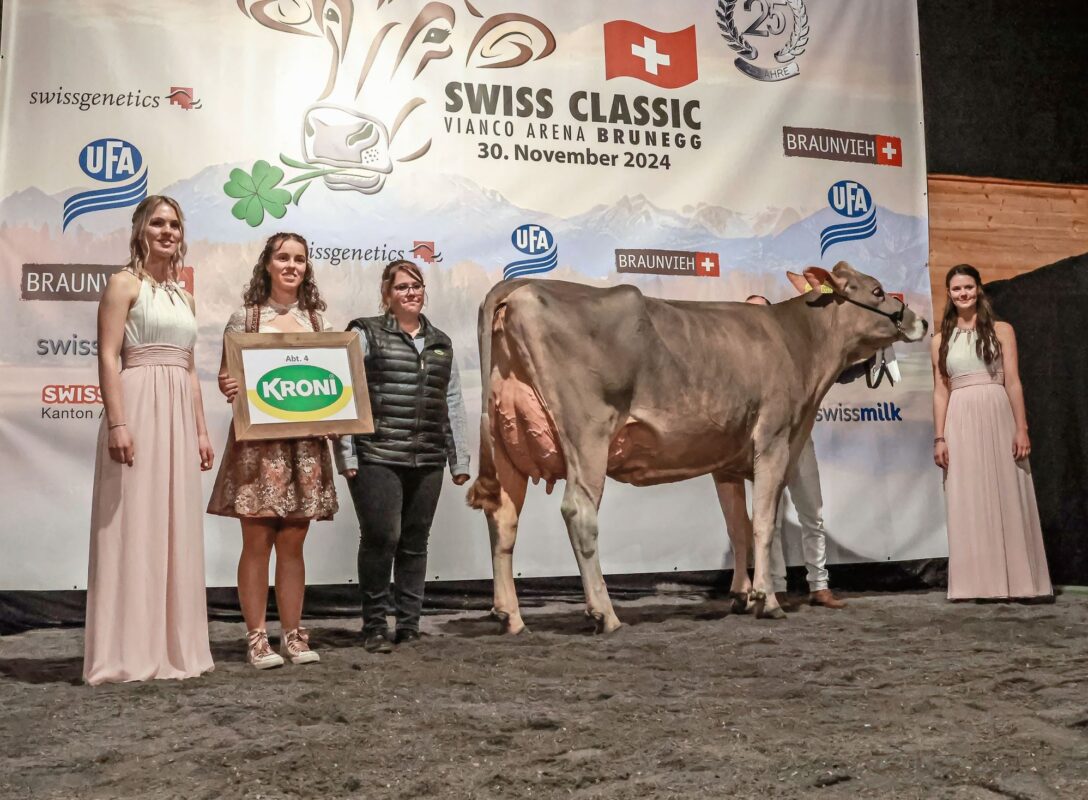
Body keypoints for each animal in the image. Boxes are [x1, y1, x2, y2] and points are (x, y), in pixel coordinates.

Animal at [465, 265, 926, 635]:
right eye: (878, 291)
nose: (919, 320)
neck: (797, 341)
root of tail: (521, 285)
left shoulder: (727, 460)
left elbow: (738, 527)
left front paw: (741, 596)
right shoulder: (775, 439)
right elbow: (764, 525)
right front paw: (768, 601)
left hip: (507, 441)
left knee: (502, 518)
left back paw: (510, 618)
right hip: (587, 433)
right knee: (579, 512)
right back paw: (604, 614)